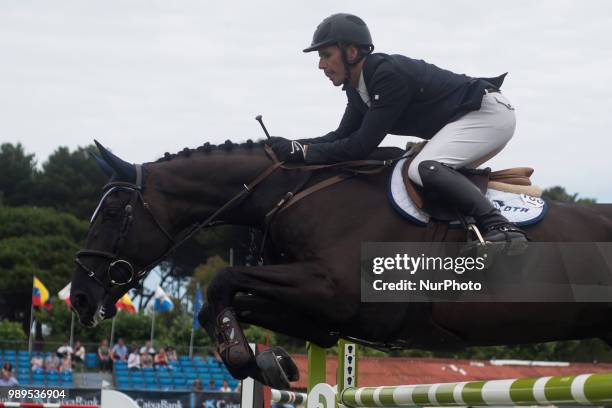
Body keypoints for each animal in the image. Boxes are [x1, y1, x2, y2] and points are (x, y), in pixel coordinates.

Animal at [73, 139, 612, 388]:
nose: (79, 297)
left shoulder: (338, 293)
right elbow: (235, 302)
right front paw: (272, 362)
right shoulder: (326, 307)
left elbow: (223, 281)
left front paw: (244, 357)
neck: (290, 195)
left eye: (115, 211)